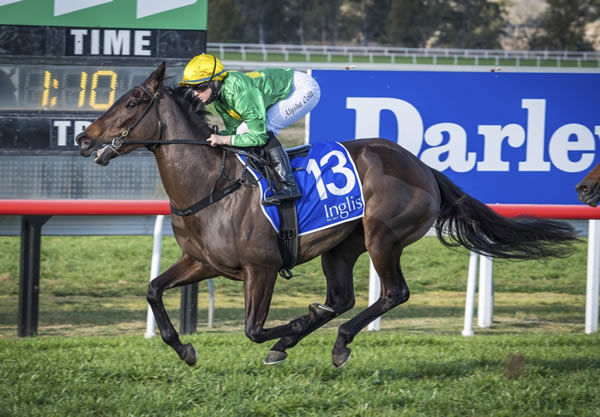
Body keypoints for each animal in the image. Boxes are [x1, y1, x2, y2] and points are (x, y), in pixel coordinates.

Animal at [76, 62, 576, 368]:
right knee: (341, 298)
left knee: (392, 293)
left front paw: (291, 327)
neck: (210, 186)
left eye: (131, 102)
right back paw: (315, 338)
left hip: (381, 236)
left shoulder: (263, 268)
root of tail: (422, 167)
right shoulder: (203, 262)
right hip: (341, 246)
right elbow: (153, 289)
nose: (83, 137)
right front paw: (184, 348)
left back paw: (332, 341)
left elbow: (253, 329)